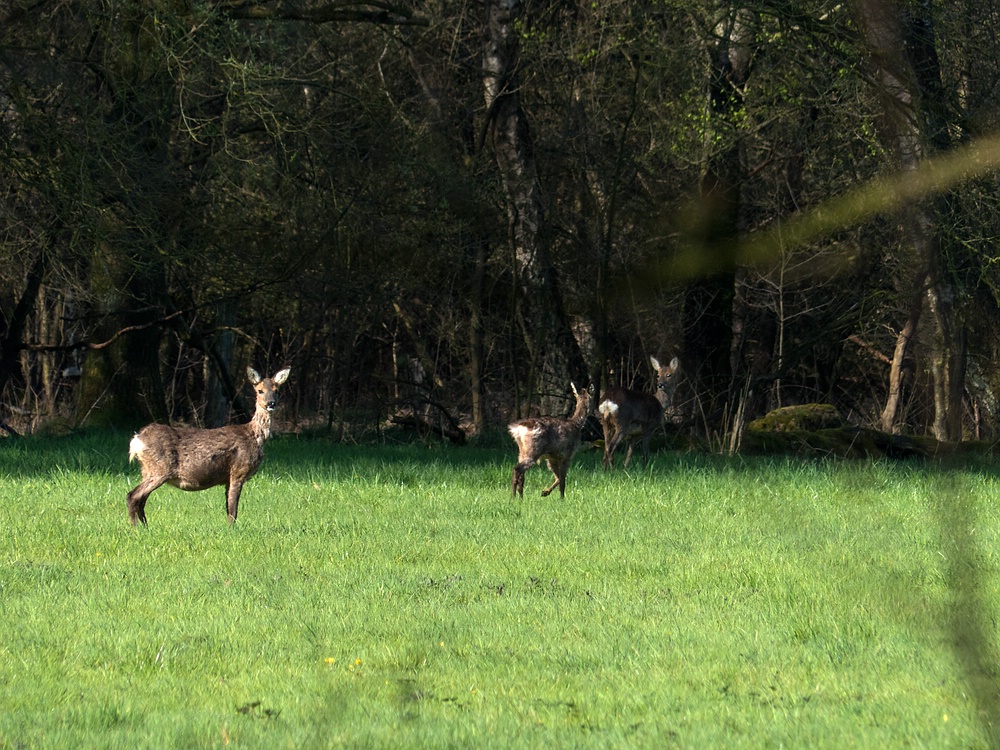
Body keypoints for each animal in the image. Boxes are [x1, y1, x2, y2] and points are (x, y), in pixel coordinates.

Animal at [125, 368, 290, 524]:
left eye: (277, 390)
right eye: (260, 390)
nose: (271, 404)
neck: (254, 436)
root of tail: (136, 441)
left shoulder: (227, 479)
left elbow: (228, 509)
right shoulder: (238, 471)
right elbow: (233, 510)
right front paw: (232, 530)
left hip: (147, 470)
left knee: (141, 500)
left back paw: (145, 527)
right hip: (159, 469)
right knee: (132, 496)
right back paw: (136, 528)